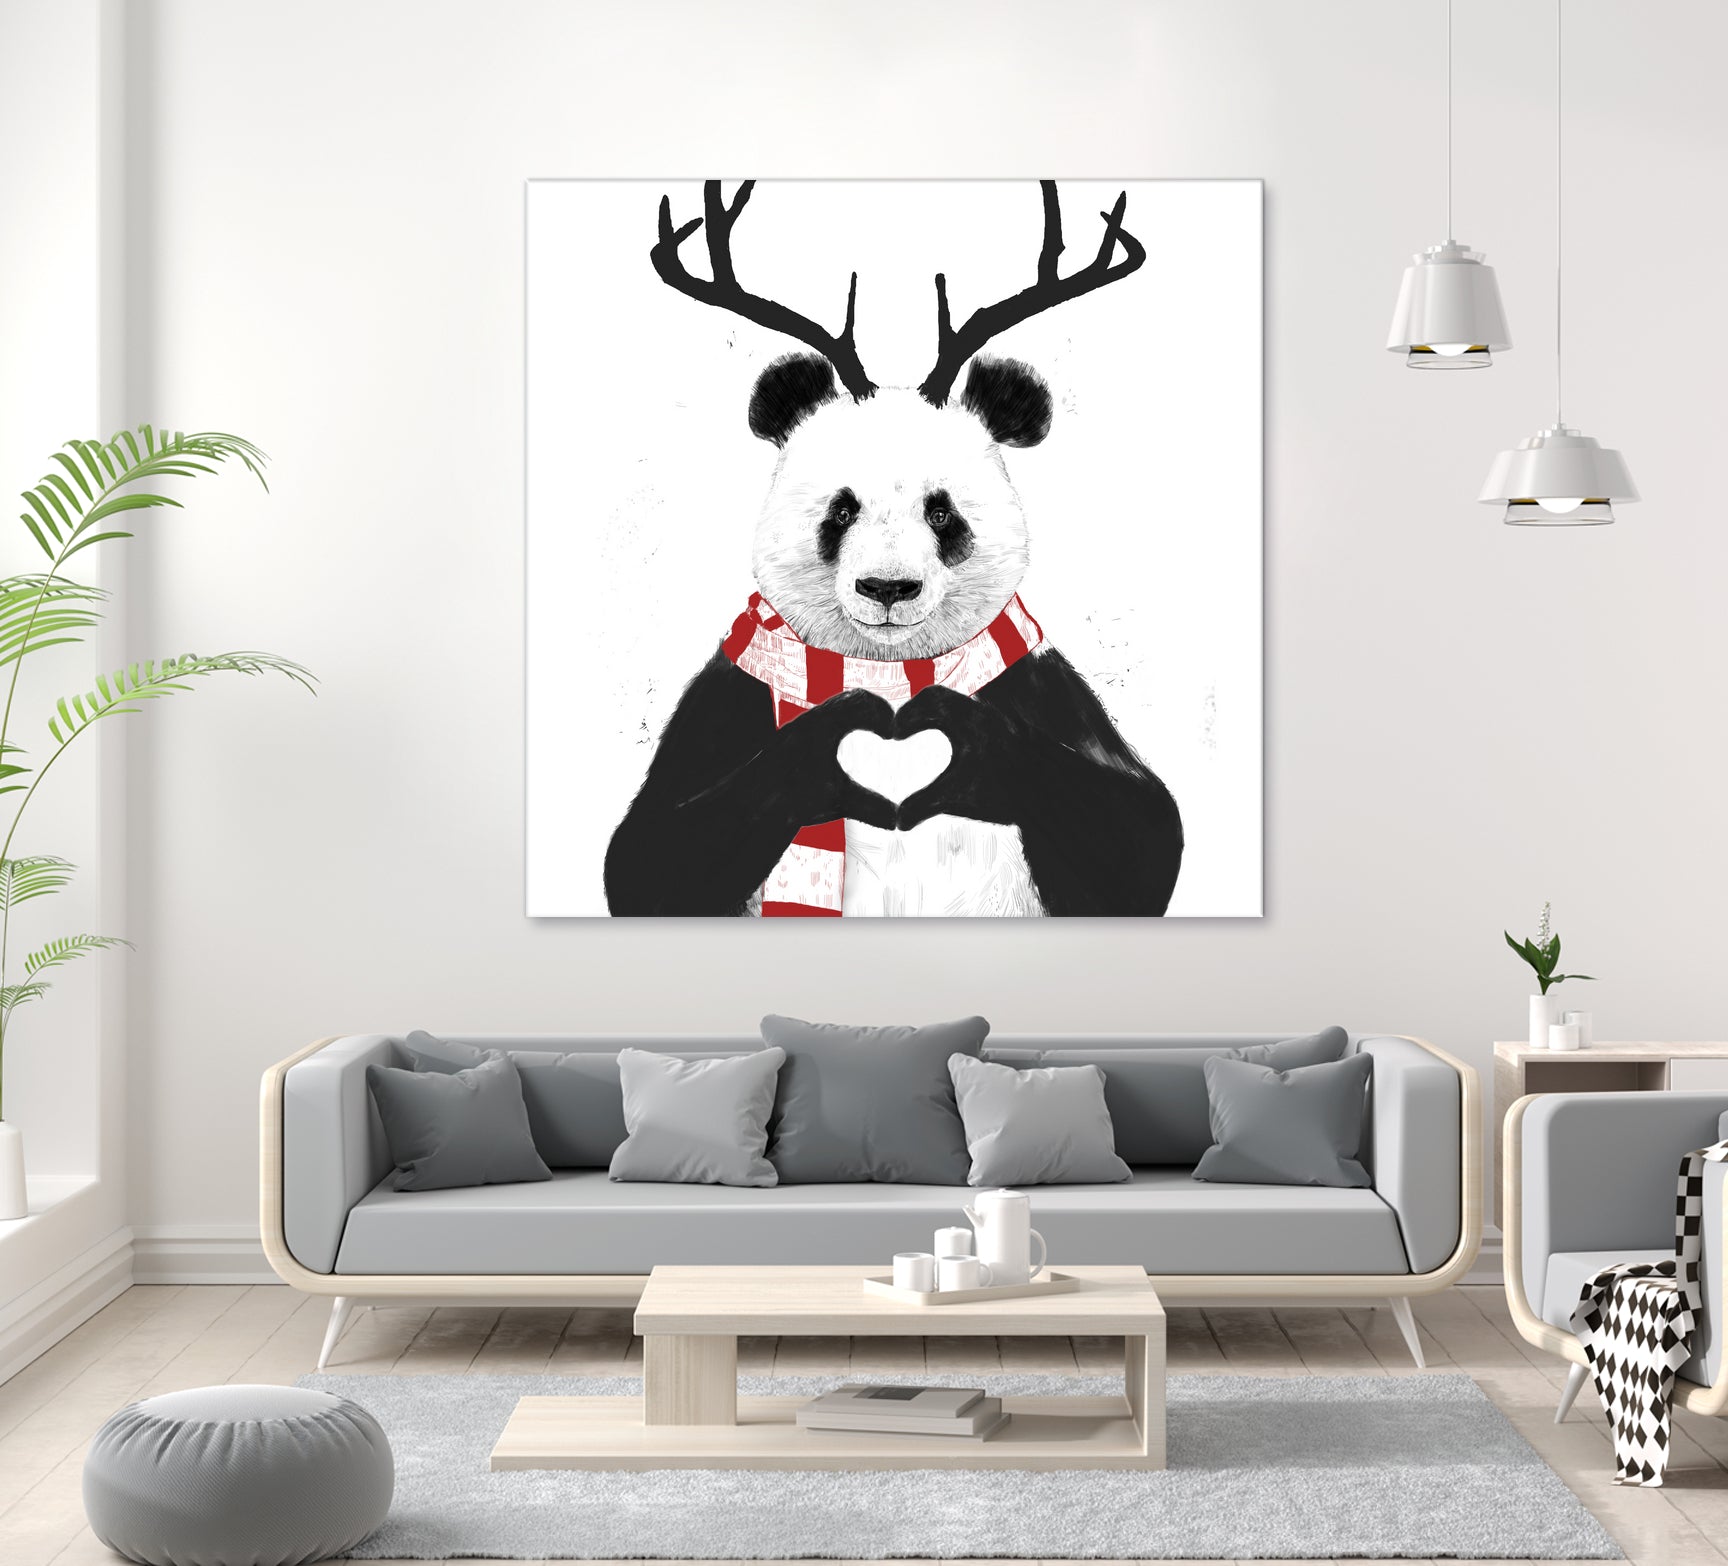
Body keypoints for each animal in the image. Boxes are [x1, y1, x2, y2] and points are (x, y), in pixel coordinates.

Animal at [604, 181, 1183, 917]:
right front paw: (833, 744)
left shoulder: (1039, 687)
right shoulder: (731, 696)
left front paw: (960, 736)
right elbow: (648, 860)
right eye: (841, 509)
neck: (888, 669)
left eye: (941, 512)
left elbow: (1140, 839)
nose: (888, 589)